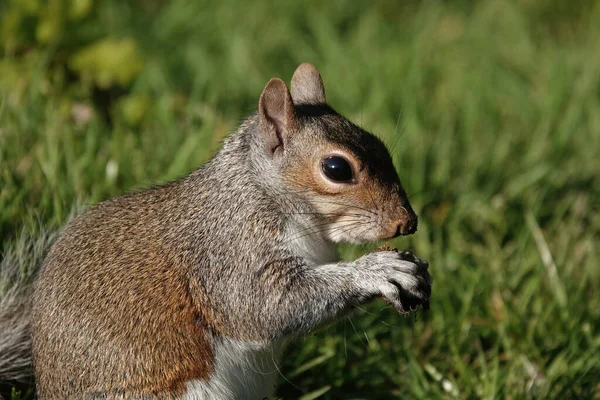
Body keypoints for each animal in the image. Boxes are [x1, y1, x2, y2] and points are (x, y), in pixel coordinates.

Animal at [1, 62, 436, 396]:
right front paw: (378, 271)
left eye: (380, 144)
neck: (259, 190)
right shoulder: (228, 249)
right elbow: (262, 305)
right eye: (336, 168)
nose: (408, 222)